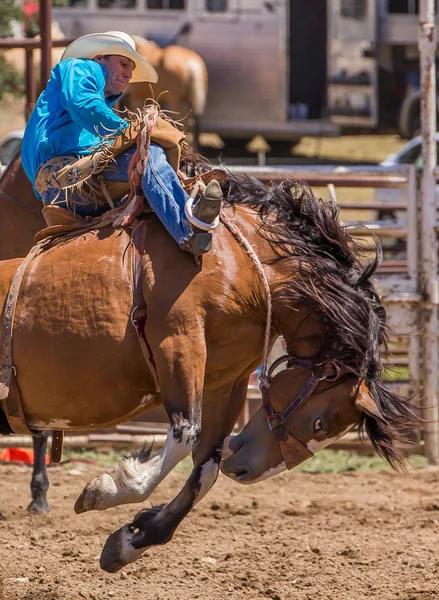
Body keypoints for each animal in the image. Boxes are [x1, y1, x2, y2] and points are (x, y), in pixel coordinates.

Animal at [0, 150, 420, 572]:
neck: (251, 266)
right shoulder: (179, 342)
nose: (247, 472)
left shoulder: (225, 380)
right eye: (320, 423)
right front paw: (107, 489)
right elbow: (185, 434)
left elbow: (207, 465)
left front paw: (132, 539)